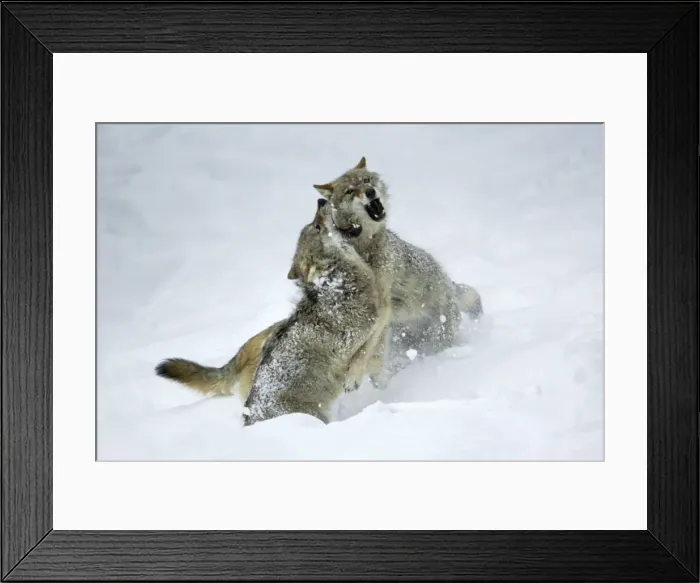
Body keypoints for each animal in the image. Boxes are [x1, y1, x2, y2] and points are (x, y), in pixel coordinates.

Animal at [242, 198, 383, 426]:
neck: (337, 286)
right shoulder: (360, 333)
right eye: (317, 226)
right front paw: (353, 380)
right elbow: (365, 349)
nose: (321, 200)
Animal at [313, 156, 483, 384]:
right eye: (350, 191)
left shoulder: (382, 306)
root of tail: (449, 282)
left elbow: (365, 350)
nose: (370, 192)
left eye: (366, 180)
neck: (364, 246)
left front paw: (355, 376)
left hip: (439, 334)